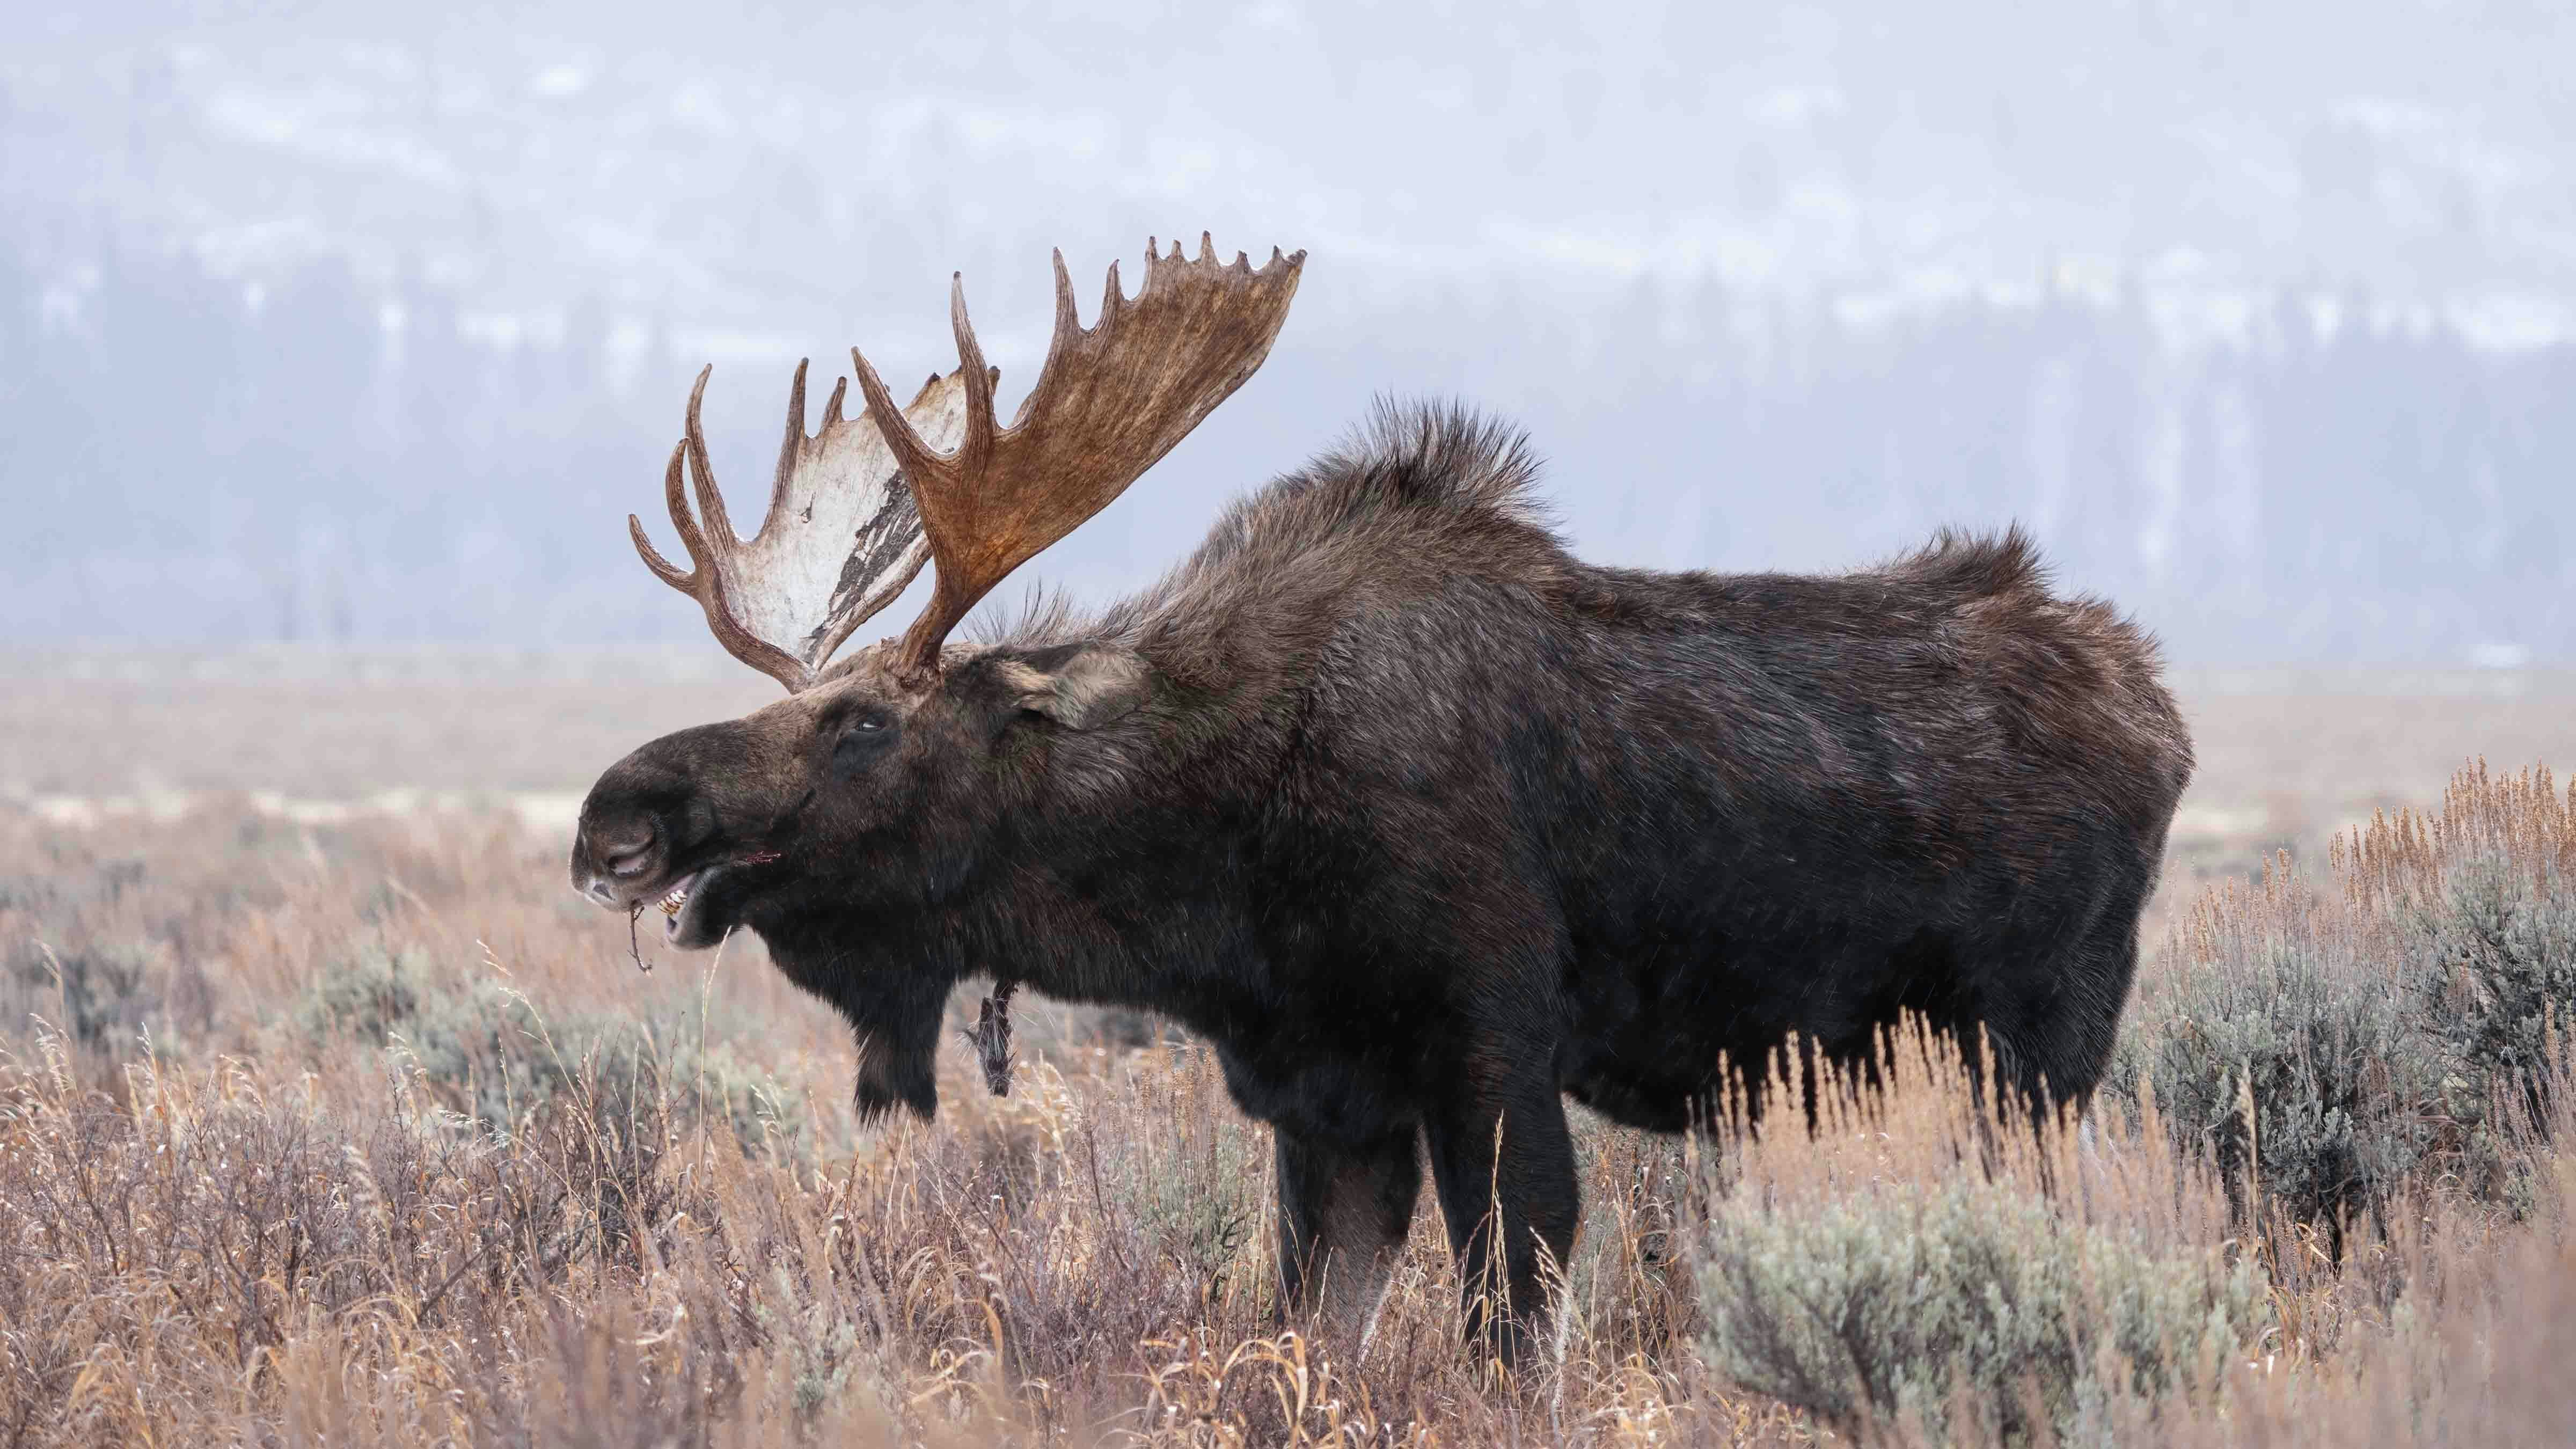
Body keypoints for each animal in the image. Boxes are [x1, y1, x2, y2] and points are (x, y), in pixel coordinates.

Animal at [569, 236, 2195, 1364]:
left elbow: (1507, 1329)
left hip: (2041, 1041)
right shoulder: (1326, 1092)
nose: (617, 811)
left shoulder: (1491, 1043)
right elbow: (1309, 1333)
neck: (1212, 882)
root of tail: (2158, 708)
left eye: (860, 726)